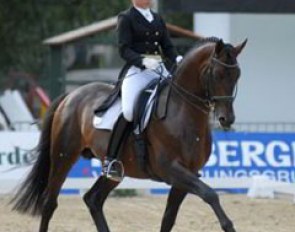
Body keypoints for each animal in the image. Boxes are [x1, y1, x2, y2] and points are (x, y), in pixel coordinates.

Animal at [11, 37, 247, 231]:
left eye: (237, 75)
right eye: (217, 74)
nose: (227, 119)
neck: (182, 113)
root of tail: (71, 95)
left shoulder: (186, 175)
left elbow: (168, 219)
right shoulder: (172, 169)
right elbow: (210, 194)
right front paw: (229, 225)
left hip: (116, 169)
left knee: (93, 199)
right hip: (63, 156)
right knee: (50, 203)